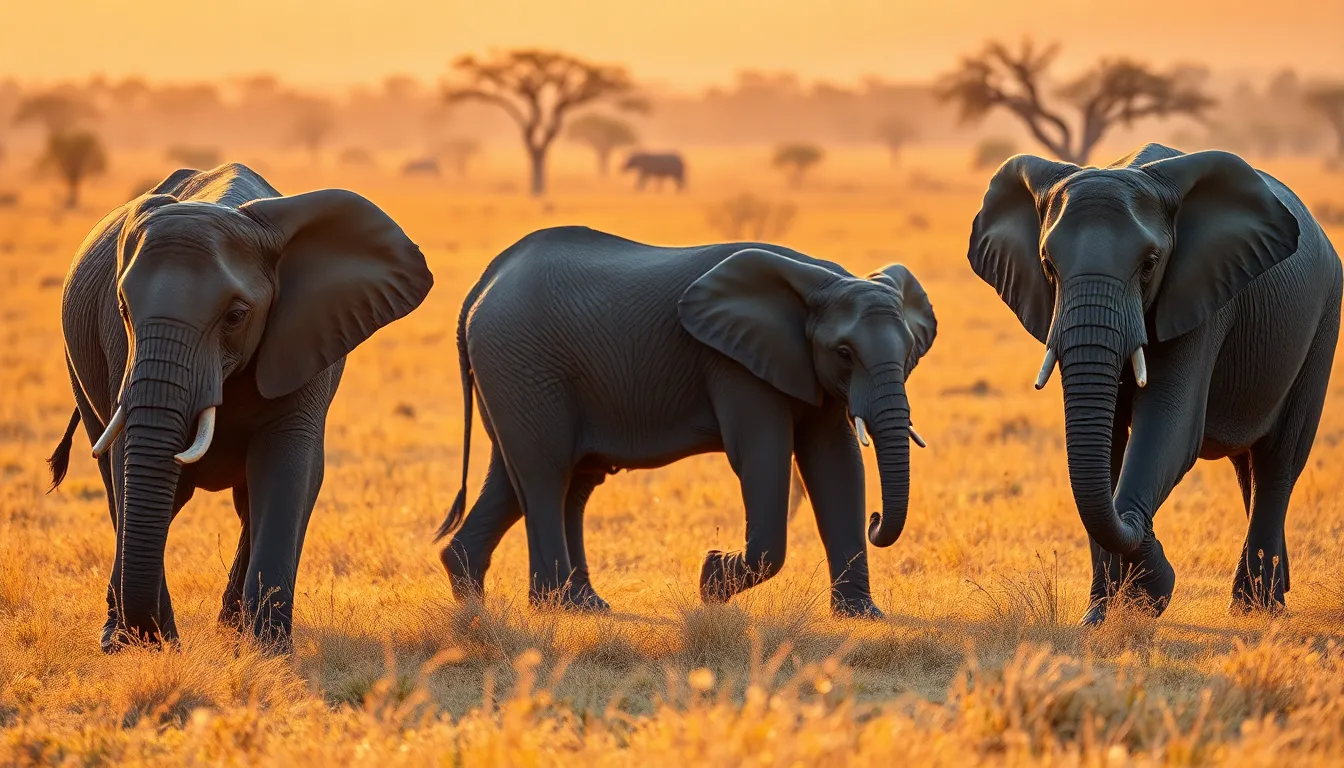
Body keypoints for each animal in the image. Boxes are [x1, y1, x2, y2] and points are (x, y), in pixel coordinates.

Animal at [45, 163, 433, 651]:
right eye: (124, 310)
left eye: (236, 316)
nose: (161, 640)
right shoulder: (120, 349)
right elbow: (129, 466)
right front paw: (149, 645)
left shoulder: (305, 337)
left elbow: (285, 466)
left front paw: (267, 651)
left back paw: (231, 631)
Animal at [435, 226, 936, 617]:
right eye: (845, 352)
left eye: (911, 350)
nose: (876, 521)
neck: (823, 281)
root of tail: (484, 284)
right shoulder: (734, 363)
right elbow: (762, 456)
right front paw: (710, 580)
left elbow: (836, 465)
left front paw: (863, 617)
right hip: (523, 364)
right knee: (545, 473)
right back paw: (555, 605)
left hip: (524, 374)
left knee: (537, 478)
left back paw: (550, 602)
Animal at [967, 143, 1341, 622]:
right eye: (1048, 267)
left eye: (1149, 266)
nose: (1153, 584)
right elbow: (1108, 444)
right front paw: (1101, 616)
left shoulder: (1201, 294)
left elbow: (1169, 429)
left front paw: (1146, 597)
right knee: (1250, 469)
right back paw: (1272, 593)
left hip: (1324, 317)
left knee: (1279, 459)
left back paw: (1257, 610)